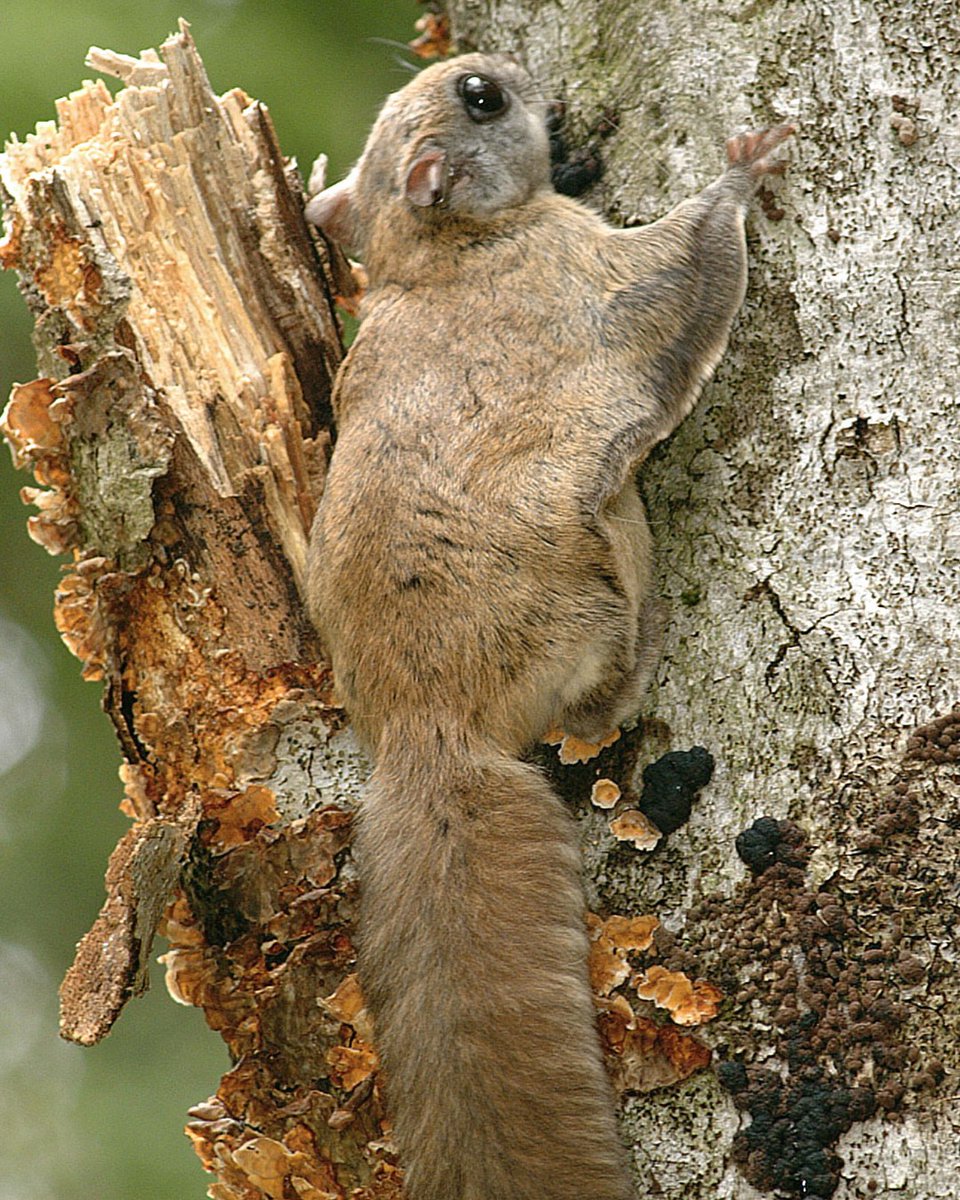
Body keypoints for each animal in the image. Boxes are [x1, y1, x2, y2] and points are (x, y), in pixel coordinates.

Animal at [304, 52, 793, 1200]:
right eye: (483, 97)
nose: (519, 70)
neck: (440, 252)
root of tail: (430, 729)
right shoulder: (586, 279)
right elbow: (687, 269)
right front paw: (746, 168)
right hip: (595, 572)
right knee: (607, 676)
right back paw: (645, 652)